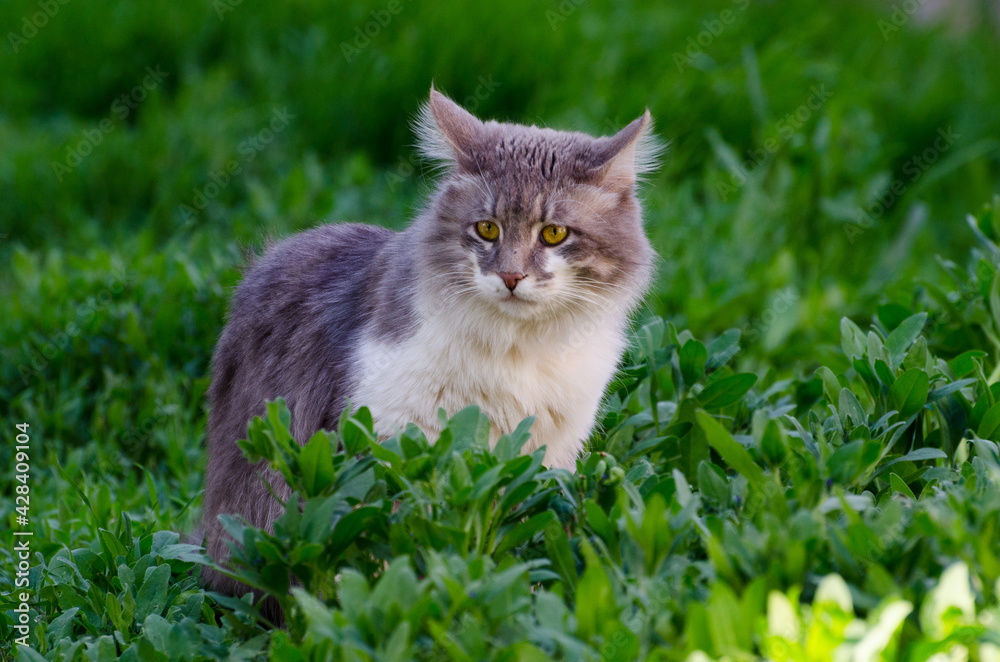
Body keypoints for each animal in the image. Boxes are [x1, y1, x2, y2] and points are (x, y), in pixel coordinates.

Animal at [199, 87, 660, 616]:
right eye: (486, 229)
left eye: (554, 234)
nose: (511, 276)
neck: (516, 352)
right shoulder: (386, 438)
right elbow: (390, 552)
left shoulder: (547, 457)